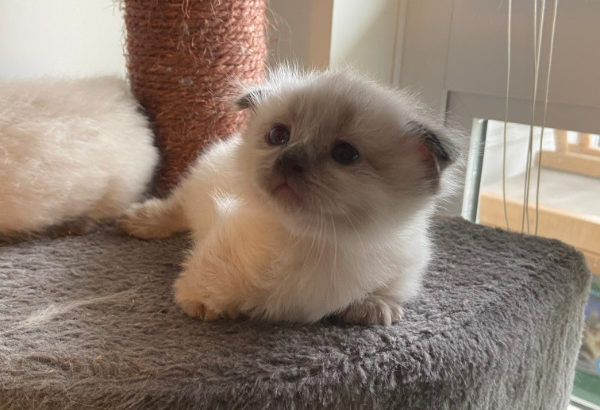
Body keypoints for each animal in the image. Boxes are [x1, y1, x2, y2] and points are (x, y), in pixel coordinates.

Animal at [119, 69, 462, 326]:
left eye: (345, 154)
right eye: (279, 136)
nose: (288, 160)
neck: (316, 243)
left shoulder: (406, 266)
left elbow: (389, 290)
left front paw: (373, 307)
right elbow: (200, 288)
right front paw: (209, 307)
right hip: (196, 182)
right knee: (175, 207)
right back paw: (139, 222)